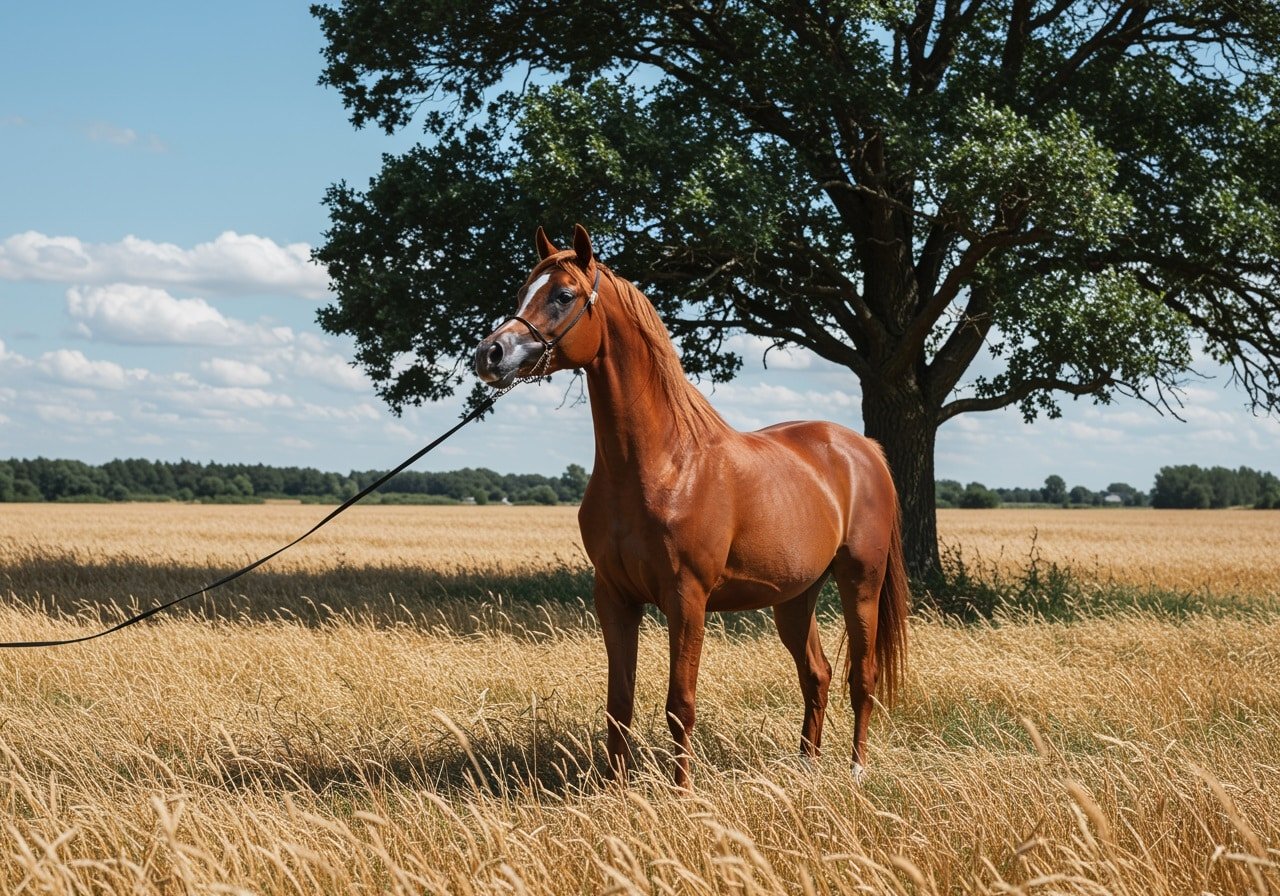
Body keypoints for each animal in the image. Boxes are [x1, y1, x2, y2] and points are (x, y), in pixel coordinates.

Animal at [475, 224, 908, 788]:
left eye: (563, 295)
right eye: (521, 292)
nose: (490, 354)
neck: (663, 465)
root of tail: (864, 450)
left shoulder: (687, 600)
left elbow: (680, 704)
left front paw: (683, 795)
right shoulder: (614, 597)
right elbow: (619, 704)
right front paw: (618, 791)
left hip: (861, 582)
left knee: (863, 675)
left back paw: (855, 772)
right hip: (795, 596)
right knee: (816, 674)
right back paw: (805, 769)